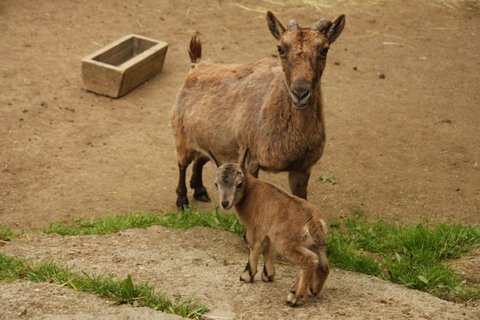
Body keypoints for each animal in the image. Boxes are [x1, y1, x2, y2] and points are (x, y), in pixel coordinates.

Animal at [170, 11, 344, 209]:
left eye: (324, 50)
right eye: (280, 49)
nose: (300, 93)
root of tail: (196, 66)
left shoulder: (302, 168)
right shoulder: (252, 160)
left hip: (214, 139)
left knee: (201, 158)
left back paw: (199, 190)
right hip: (182, 135)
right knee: (182, 164)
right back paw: (182, 200)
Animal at [212, 151, 328, 306]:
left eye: (239, 184)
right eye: (216, 184)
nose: (225, 203)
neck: (251, 191)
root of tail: (313, 220)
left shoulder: (255, 228)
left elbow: (254, 247)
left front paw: (246, 276)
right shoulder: (268, 231)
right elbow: (268, 250)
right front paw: (268, 275)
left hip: (287, 243)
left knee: (310, 261)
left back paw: (295, 297)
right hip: (315, 244)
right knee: (323, 264)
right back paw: (311, 289)